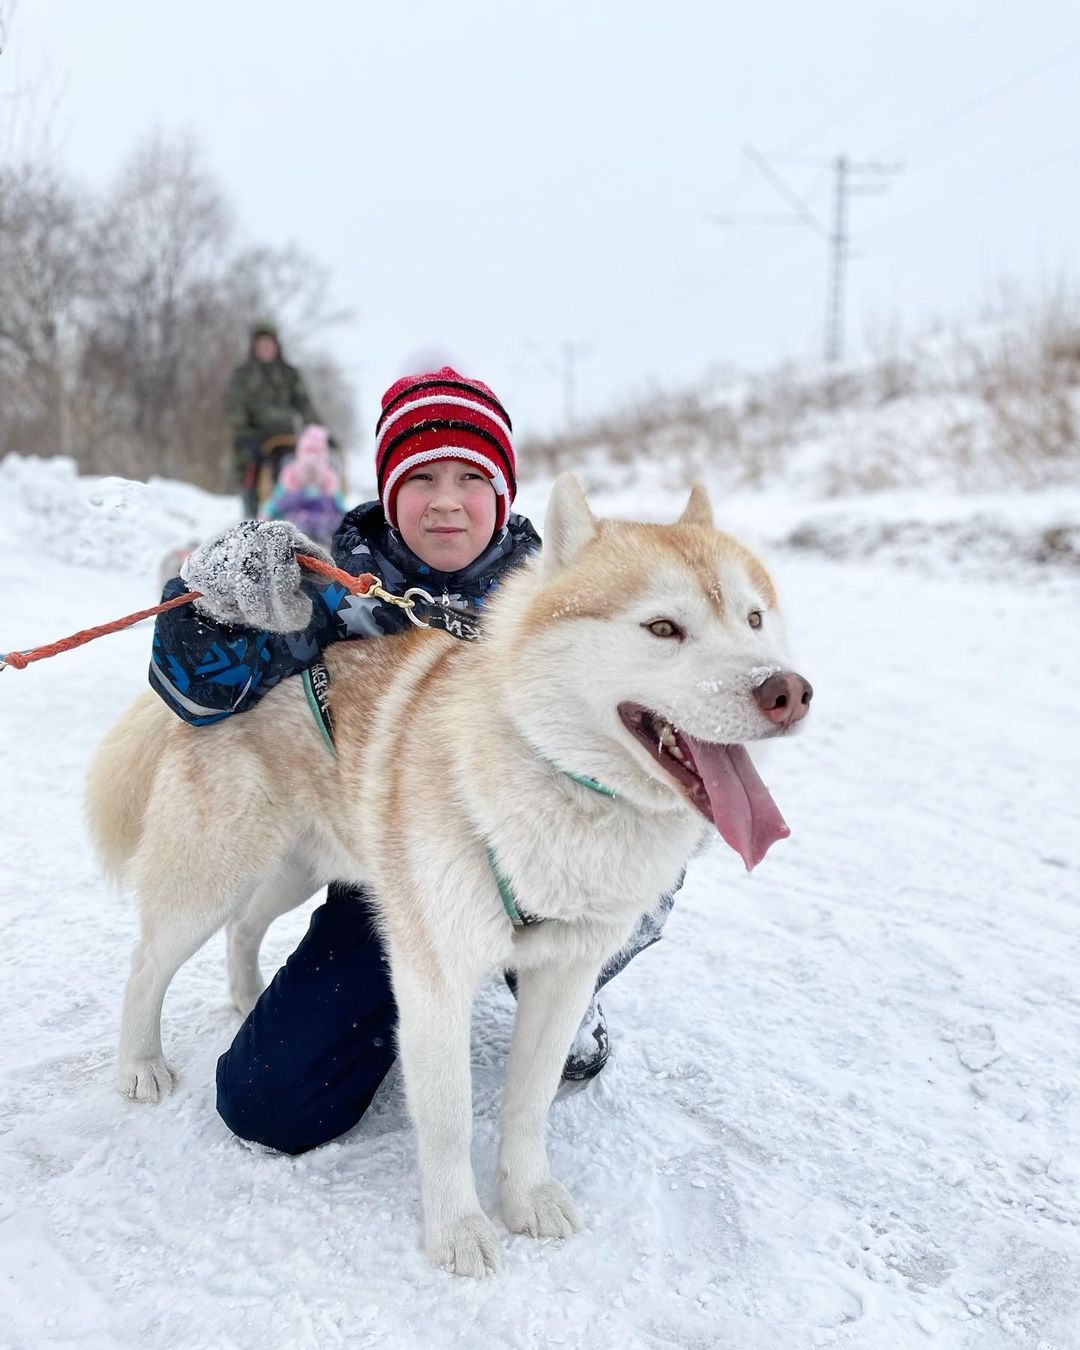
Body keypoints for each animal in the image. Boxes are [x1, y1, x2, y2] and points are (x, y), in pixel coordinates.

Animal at [86, 475, 810, 1274]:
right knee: (147, 964)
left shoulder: (565, 975)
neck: (557, 786)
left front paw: (527, 1198)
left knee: (244, 928)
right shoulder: (433, 980)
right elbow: (449, 1119)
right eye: (662, 628)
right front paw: (460, 1229)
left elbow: (527, 1104)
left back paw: (247, 996)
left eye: (753, 618)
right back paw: (140, 1063)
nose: (786, 691)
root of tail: (231, 692)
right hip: (212, 875)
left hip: (297, 869)